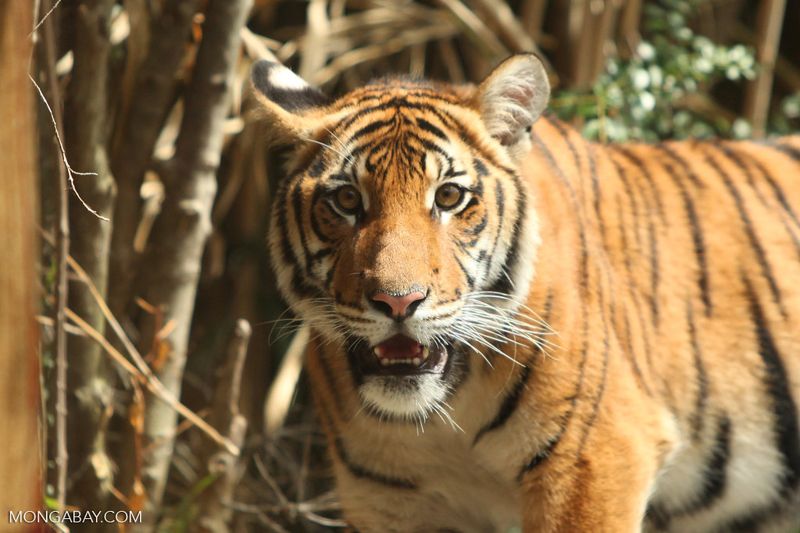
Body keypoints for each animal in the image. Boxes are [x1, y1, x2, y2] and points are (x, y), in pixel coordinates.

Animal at [250, 53, 800, 532]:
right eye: (346, 200)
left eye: (449, 196)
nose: (398, 302)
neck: (443, 420)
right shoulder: (385, 499)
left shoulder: (594, 461)